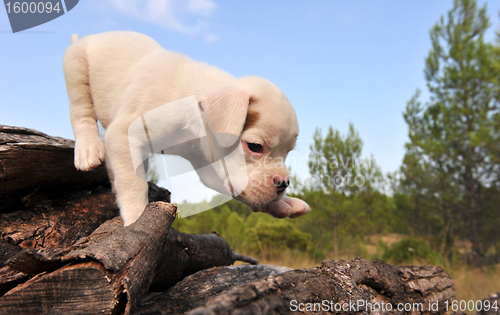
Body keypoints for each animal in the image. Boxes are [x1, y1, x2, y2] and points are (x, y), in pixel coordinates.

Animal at [63, 30, 308, 226]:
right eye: (255, 146)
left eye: (287, 153)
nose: (284, 183)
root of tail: (90, 37)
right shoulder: (123, 134)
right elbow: (133, 183)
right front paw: (136, 217)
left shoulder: (210, 167)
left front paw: (283, 205)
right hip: (76, 66)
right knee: (81, 111)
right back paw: (88, 149)